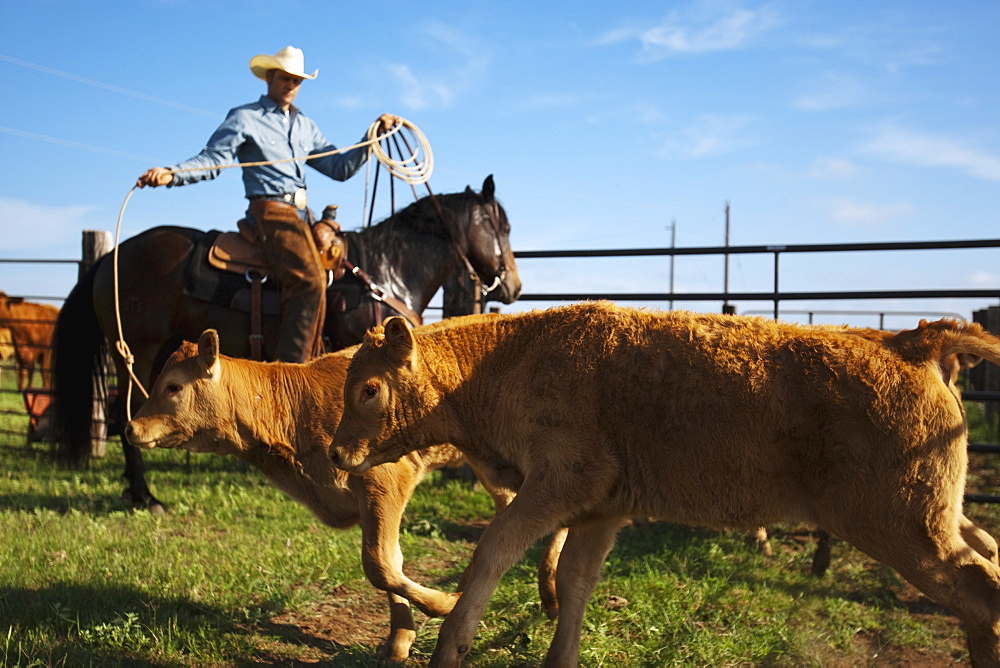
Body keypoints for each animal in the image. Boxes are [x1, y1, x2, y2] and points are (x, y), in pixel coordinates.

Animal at [52, 174, 524, 512]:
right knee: (127, 413)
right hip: (137, 348)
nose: (514, 287)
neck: (385, 272)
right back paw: (144, 496)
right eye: (502, 226)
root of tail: (110, 256)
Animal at [125, 330, 564, 664]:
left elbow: (378, 564)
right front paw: (400, 641)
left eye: (173, 386)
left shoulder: (384, 480)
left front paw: (442, 603)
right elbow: (391, 561)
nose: (131, 428)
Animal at [334, 302, 1000, 668]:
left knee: (979, 586)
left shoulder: (559, 483)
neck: (513, 357)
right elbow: (575, 581)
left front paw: (450, 644)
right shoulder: (600, 509)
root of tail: (911, 341)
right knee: (987, 553)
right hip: (937, 517)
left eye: (369, 388)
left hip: (905, 528)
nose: (339, 454)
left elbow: (493, 551)